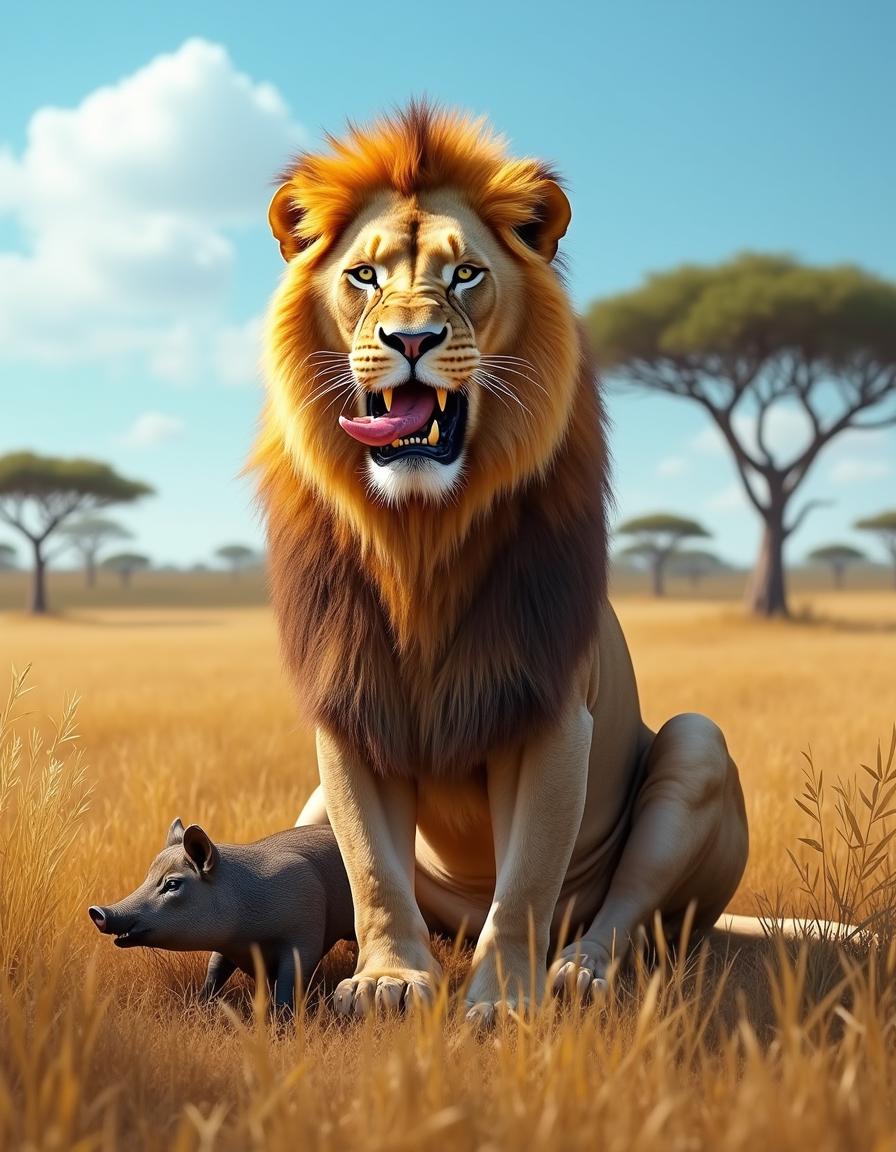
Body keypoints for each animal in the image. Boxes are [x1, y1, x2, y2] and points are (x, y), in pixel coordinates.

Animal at [88, 818, 355, 1013]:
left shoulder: (304, 937)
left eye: (172, 884)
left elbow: (289, 980)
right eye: (147, 877)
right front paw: (199, 1005)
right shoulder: (226, 947)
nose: (97, 911)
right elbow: (215, 969)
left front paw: (280, 1021)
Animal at [253, 102, 749, 1023]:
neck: (420, 538)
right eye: (365, 275)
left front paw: (503, 1004)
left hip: (696, 749)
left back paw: (578, 972)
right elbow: (371, 868)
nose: (413, 338)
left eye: (466, 275)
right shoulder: (349, 712)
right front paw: (388, 980)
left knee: (629, 915)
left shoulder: (551, 715)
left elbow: (523, 883)